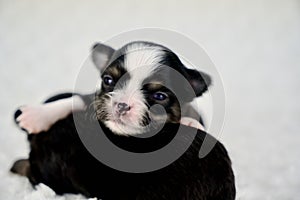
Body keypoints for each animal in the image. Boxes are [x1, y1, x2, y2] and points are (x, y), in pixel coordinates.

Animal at [11, 41, 237, 199]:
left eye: (160, 96)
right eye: (108, 80)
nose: (121, 105)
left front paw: (191, 123)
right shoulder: (96, 98)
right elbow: (76, 99)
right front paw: (37, 115)